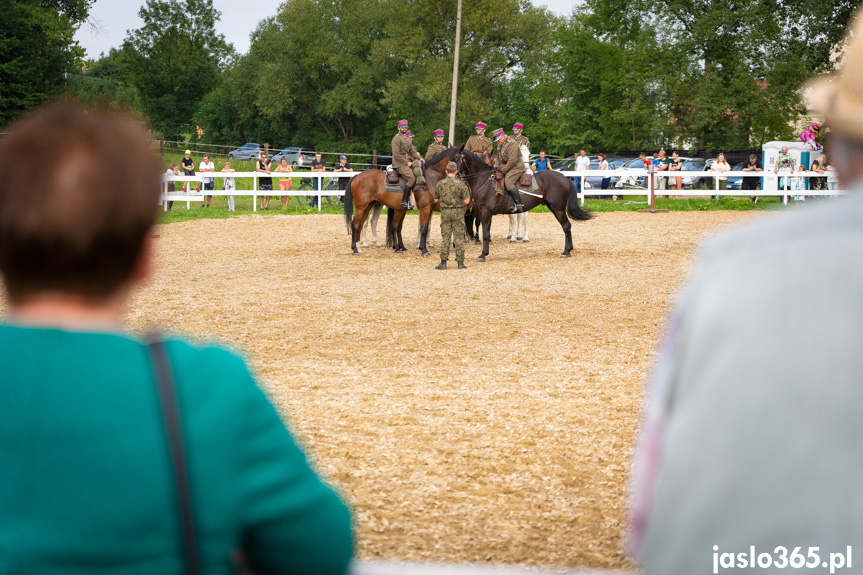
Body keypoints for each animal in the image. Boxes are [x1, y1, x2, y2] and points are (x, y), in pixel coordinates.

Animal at [456, 147, 592, 260]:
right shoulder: (482, 212)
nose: (455, 174)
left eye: (457, 158)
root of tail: (564, 178)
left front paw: (483, 254)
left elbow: (485, 233)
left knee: (566, 226)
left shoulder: (485, 213)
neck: (485, 180)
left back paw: (566, 251)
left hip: (558, 209)